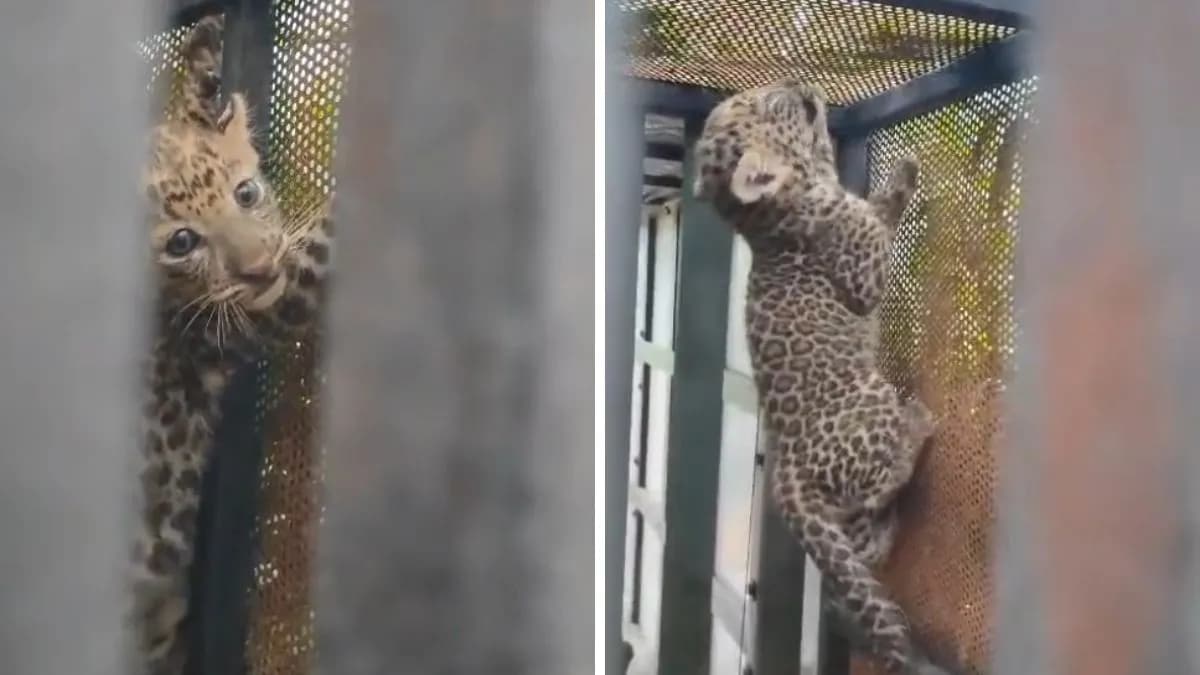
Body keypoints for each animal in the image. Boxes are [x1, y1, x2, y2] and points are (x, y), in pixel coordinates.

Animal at [692, 77, 948, 675]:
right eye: (763, 105)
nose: (795, 81)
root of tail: (785, 480)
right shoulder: (863, 273)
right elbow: (875, 226)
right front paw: (903, 178)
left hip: (839, 513)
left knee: (864, 534)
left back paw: (885, 530)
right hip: (871, 394)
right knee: (883, 479)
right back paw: (916, 426)